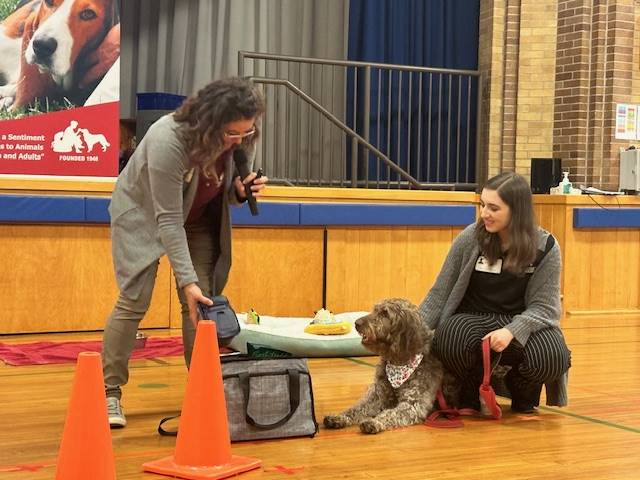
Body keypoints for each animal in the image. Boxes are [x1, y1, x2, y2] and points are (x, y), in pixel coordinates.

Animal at [324, 298, 456, 434]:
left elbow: (390, 414)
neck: (398, 361)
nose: (357, 323)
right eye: (375, 310)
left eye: (385, 313)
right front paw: (340, 417)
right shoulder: (378, 396)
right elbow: (358, 408)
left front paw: (374, 422)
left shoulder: (413, 404)